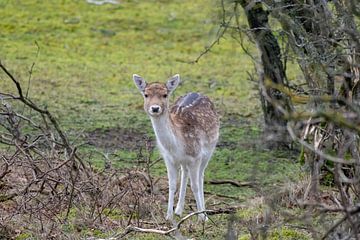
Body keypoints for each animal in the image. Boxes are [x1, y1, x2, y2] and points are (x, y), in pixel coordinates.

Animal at [133, 73, 219, 221]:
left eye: (165, 94)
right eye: (146, 94)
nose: (155, 108)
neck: (177, 145)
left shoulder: (196, 156)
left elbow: (195, 186)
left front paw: (201, 217)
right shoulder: (168, 159)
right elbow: (172, 184)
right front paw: (169, 216)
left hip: (209, 151)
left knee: (201, 177)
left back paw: (204, 214)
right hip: (185, 161)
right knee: (185, 173)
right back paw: (179, 210)